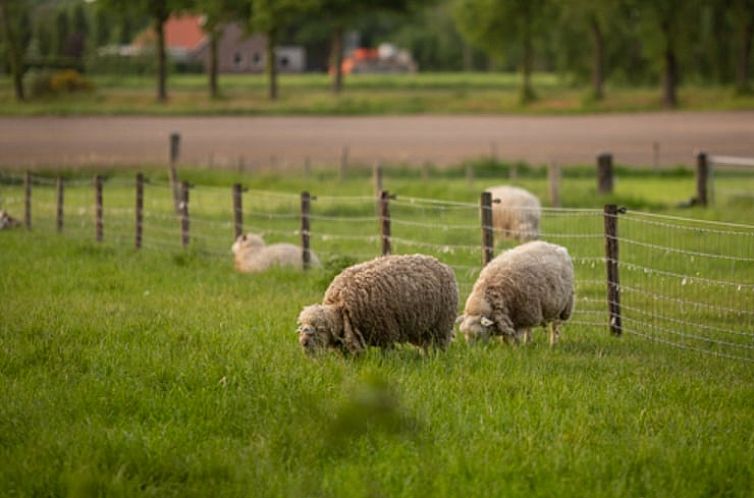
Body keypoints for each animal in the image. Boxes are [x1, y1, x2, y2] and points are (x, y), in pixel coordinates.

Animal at [296, 255, 458, 356]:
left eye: (321, 329)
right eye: (302, 327)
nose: (304, 343)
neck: (340, 305)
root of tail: (440, 263)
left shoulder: (386, 331)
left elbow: (387, 353)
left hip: (441, 325)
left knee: (439, 346)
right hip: (423, 327)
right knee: (425, 345)